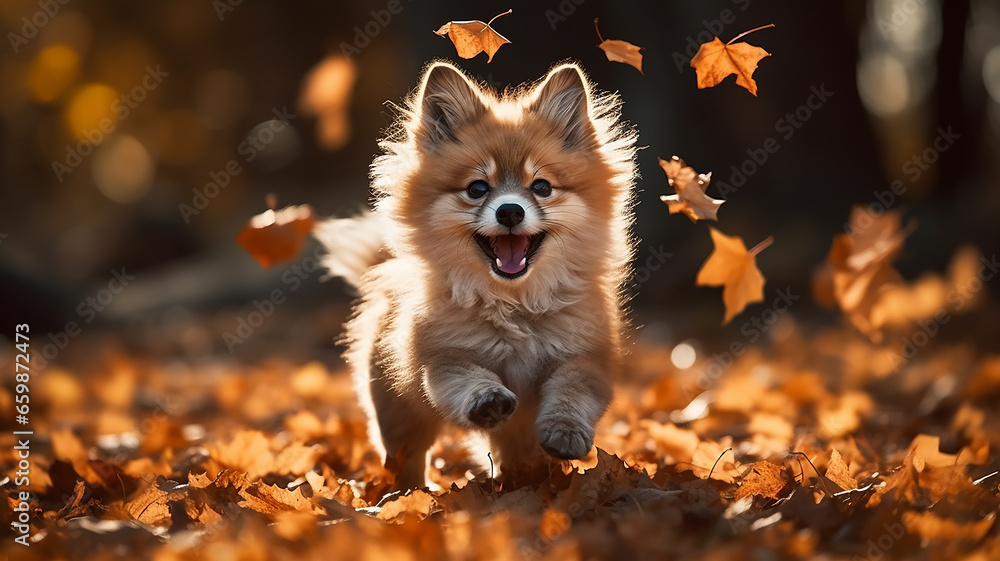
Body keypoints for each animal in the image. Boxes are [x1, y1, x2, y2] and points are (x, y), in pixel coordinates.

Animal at [315, 60, 638, 490]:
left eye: (541, 187)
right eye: (477, 188)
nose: (510, 211)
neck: (515, 304)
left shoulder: (584, 357)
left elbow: (572, 390)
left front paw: (565, 430)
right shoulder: (441, 359)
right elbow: (465, 377)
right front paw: (487, 399)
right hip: (399, 413)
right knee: (407, 453)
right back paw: (409, 492)